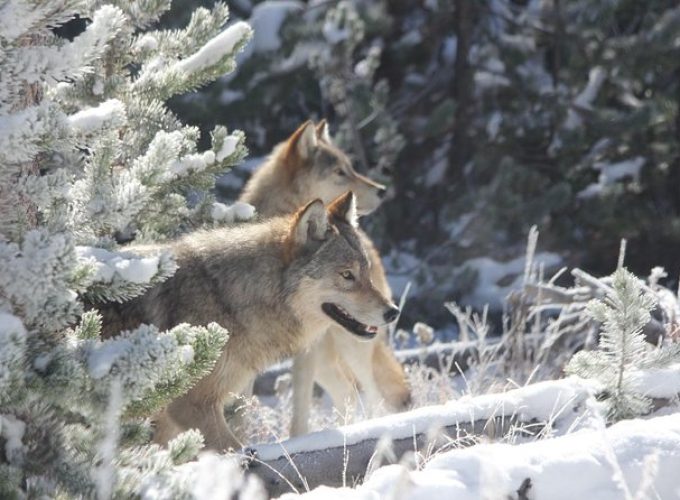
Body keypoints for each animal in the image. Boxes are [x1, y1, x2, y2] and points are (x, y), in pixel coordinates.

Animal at [95, 193, 396, 452]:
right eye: (347, 275)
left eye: (367, 273)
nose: (392, 312)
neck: (231, 298)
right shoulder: (192, 406)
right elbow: (239, 456)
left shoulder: (171, 418)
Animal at [239, 119, 410, 436]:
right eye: (340, 172)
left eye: (351, 167)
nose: (382, 190)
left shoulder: (306, 352)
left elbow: (300, 411)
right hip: (329, 361)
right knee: (348, 393)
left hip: (352, 346)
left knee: (372, 393)